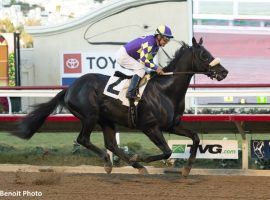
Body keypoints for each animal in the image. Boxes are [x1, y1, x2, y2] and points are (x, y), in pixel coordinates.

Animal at [12, 37, 228, 177]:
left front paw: (187, 169)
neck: (166, 90)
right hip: (90, 116)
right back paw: (113, 163)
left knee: (111, 144)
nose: (224, 72)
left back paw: (134, 165)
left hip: (106, 120)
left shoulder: (172, 125)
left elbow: (196, 137)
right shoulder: (150, 127)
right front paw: (141, 157)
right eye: (204, 55)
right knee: (84, 139)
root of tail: (69, 88)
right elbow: (167, 151)